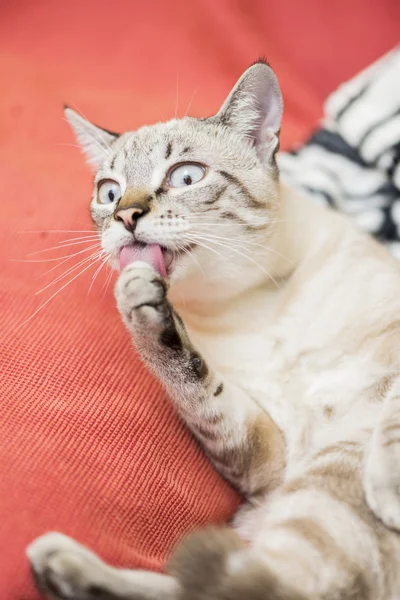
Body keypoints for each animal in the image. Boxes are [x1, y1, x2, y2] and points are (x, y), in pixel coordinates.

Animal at [25, 61, 400, 600]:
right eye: (109, 192)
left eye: (186, 176)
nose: (125, 215)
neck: (254, 303)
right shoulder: (269, 460)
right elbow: (198, 386)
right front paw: (140, 304)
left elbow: (394, 417)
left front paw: (390, 486)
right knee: (253, 587)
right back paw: (62, 565)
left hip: (334, 478)